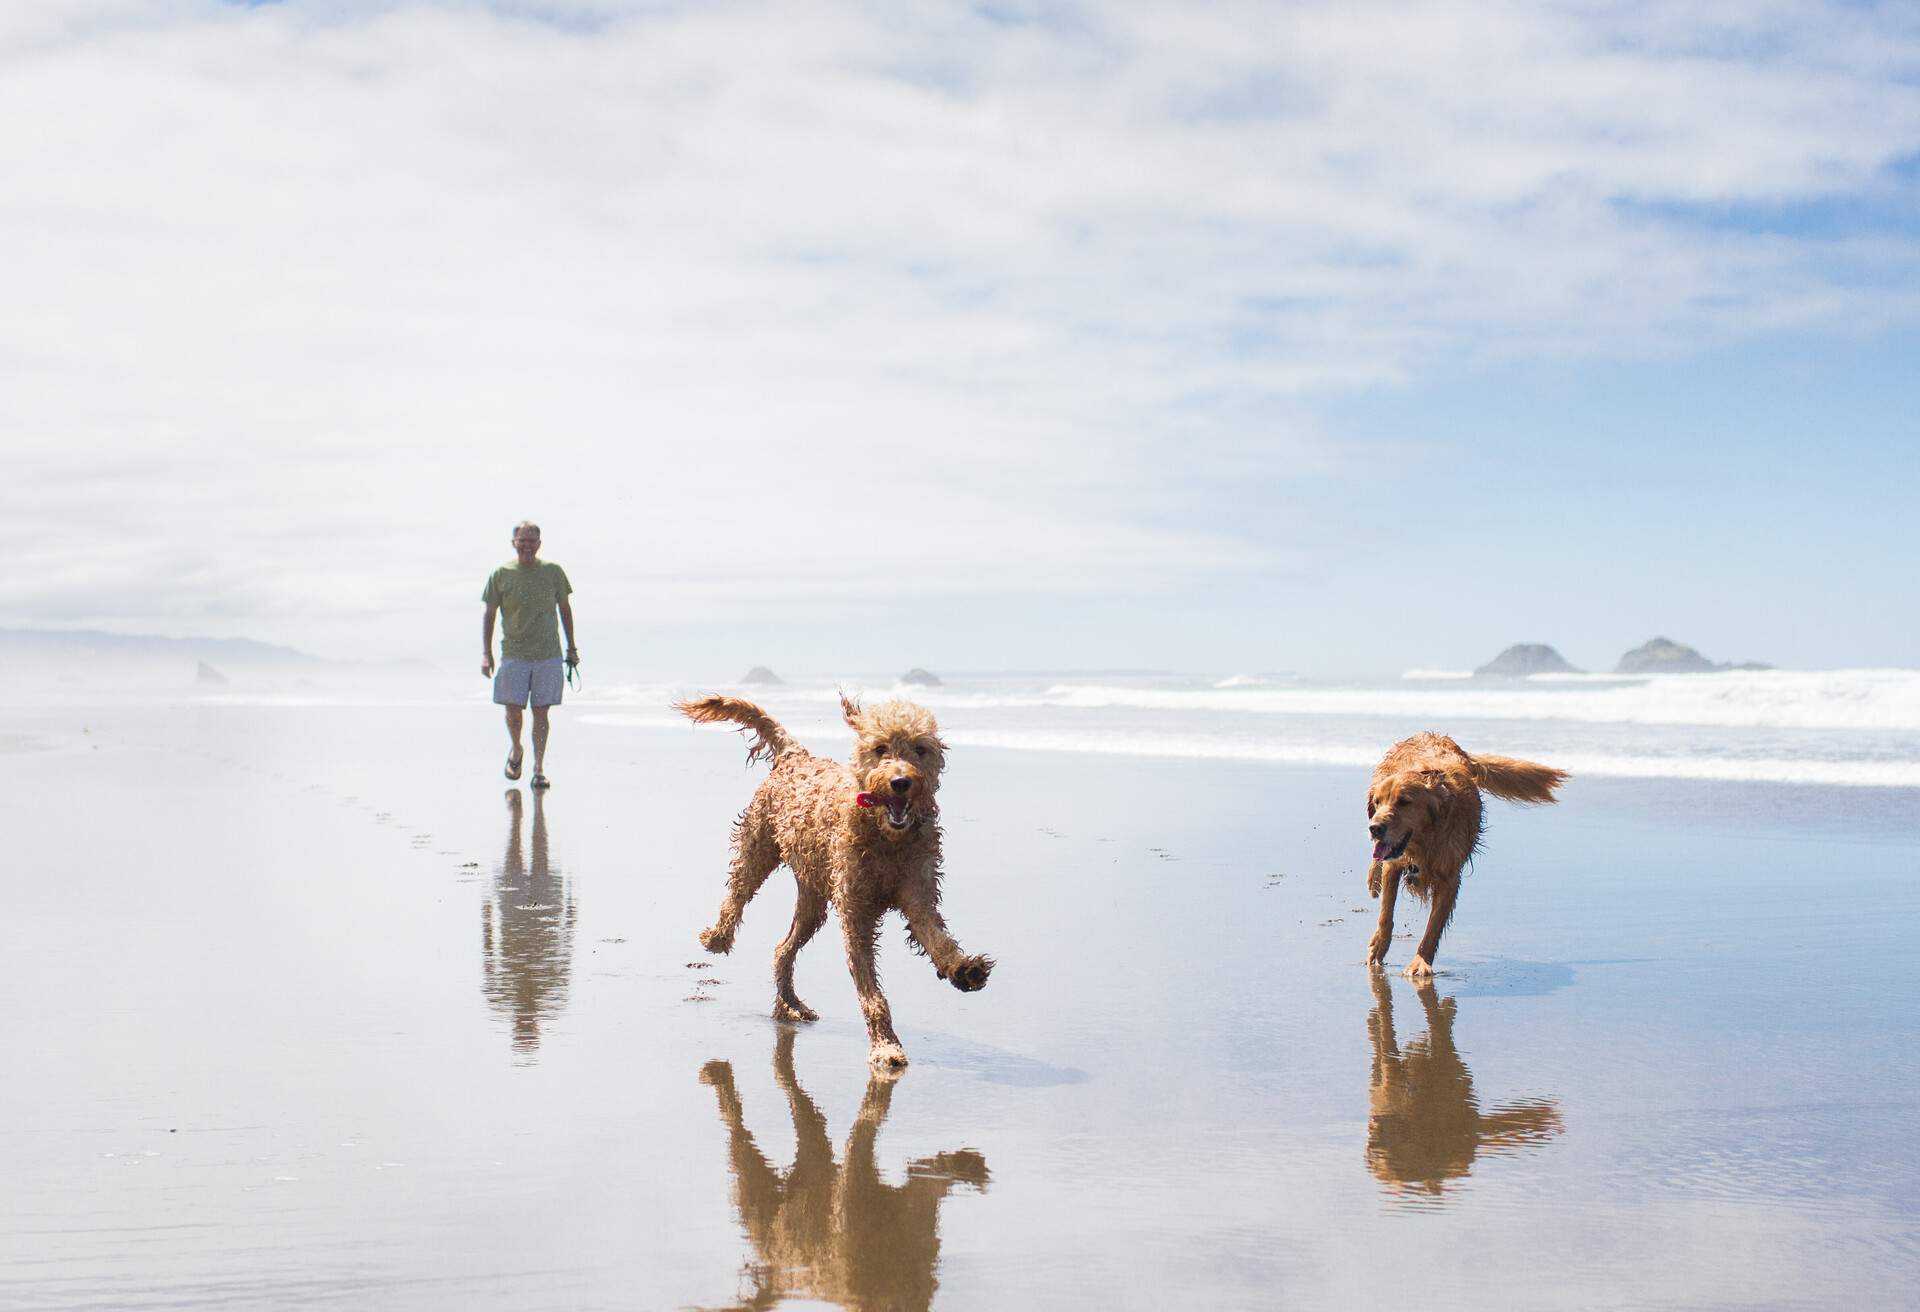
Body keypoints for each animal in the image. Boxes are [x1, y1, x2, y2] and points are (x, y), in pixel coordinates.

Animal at [672, 691, 990, 1075]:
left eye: (920, 749)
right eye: (881, 748)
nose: (901, 782)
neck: (886, 838)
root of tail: (796, 755)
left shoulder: (918, 895)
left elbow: (938, 940)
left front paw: (963, 969)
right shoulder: (856, 916)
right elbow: (872, 996)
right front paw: (886, 1048)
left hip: (812, 896)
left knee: (783, 948)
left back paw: (790, 1005)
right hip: (757, 846)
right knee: (737, 891)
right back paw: (718, 937)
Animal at [1367, 733, 1559, 979]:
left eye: (1404, 802)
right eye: (1378, 802)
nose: (1374, 828)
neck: (1427, 840)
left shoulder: (1449, 877)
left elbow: (1434, 926)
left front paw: (1420, 963)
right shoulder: (1395, 864)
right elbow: (1386, 912)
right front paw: (1379, 945)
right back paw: (1373, 879)